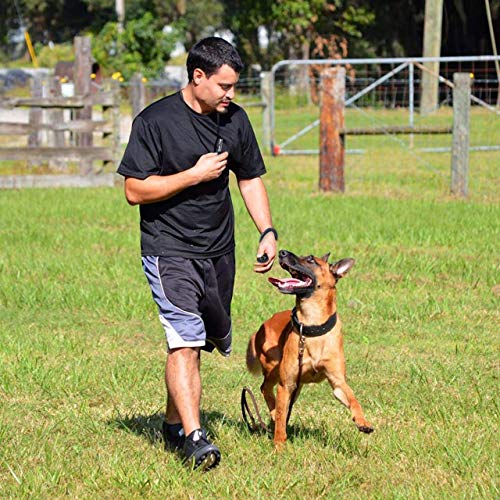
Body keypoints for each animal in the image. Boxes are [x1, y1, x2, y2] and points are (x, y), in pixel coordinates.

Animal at [248, 248, 374, 448]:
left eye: (310, 260)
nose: (282, 252)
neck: (312, 324)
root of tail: (263, 325)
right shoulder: (286, 385)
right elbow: (281, 419)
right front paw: (279, 446)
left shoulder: (338, 382)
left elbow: (353, 399)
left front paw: (363, 421)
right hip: (275, 369)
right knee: (265, 389)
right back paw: (273, 412)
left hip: (296, 387)